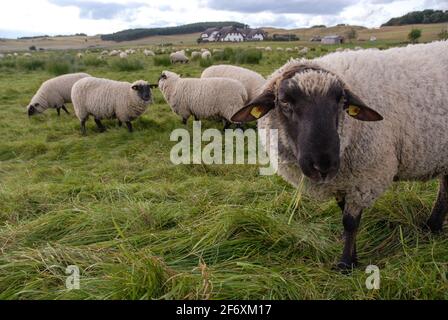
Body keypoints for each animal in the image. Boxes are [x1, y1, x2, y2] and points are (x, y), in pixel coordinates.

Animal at [231, 40, 448, 270]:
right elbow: (345, 213)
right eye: (284, 101)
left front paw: (345, 264)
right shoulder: (342, 181)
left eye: (340, 101)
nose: (323, 164)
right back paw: (432, 227)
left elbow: (350, 222)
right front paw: (353, 257)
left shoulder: (364, 178)